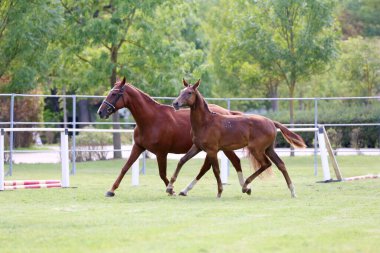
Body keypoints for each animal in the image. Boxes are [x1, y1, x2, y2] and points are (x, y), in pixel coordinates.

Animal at [166, 79, 306, 198]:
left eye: (189, 92)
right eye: (181, 91)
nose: (175, 103)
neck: (206, 123)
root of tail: (271, 122)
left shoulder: (212, 150)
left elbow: (215, 170)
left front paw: (219, 192)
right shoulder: (197, 147)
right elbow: (182, 160)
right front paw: (170, 187)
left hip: (256, 149)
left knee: (266, 164)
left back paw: (246, 186)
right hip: (268, 149)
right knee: (280, 164)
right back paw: (292, 191)